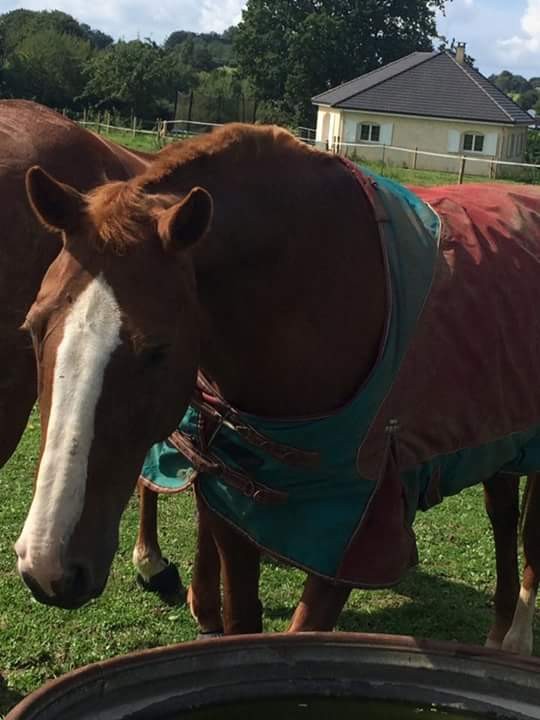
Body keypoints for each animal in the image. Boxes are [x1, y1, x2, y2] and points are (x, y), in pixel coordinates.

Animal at [15, 122, 540, 655]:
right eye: (33, 328)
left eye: (157, 349)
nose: (49, 564)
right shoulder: (235, 508)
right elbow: (242, 620)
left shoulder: (357, 532)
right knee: (501, 513)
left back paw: (515, 637)